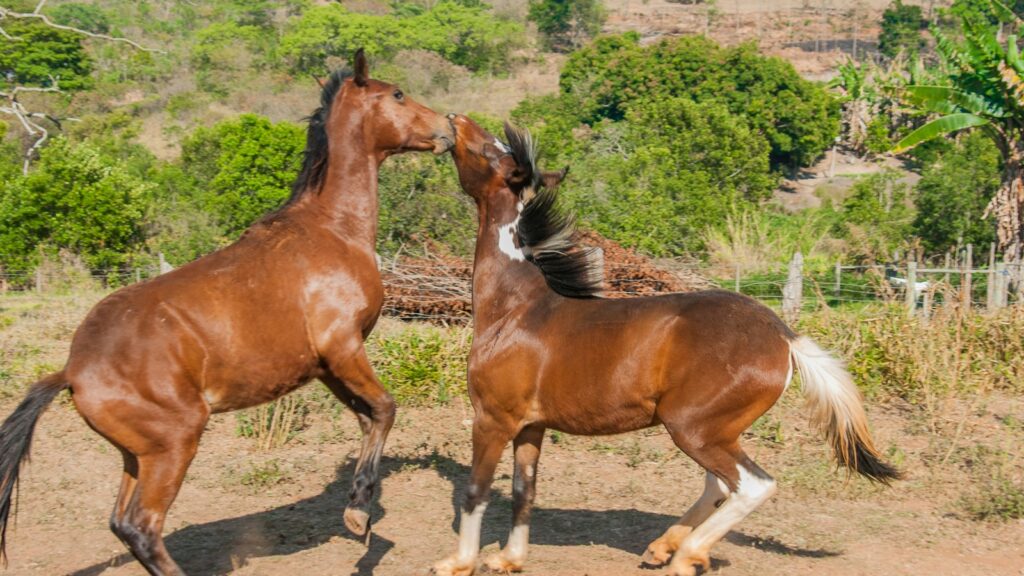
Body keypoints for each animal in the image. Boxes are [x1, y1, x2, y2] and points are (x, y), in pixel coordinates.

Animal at [0, 50, 454, 575]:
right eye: (398, 94)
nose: (448, 126)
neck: (332, 229)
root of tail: (73, 371)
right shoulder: (343, 346)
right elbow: (384, 408)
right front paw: (359, 512)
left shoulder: (326, 366)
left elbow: (368, 417)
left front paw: (358, 507)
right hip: (173, 446)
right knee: (141, 525)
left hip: (136, 456)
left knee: (120, 523)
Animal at [433, 115, 899, 576]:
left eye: (489, 148)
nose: (453, 120)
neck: (515, 309)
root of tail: (783, 335)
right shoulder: (532, 425)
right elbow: (523, 489)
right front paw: (508, 558)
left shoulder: (493, 418)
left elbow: (476, 491)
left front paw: (458, 563)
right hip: (716, 430)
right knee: (719, 483)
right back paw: (664, 548)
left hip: (692, 427)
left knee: (752, 484)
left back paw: (685, 556)